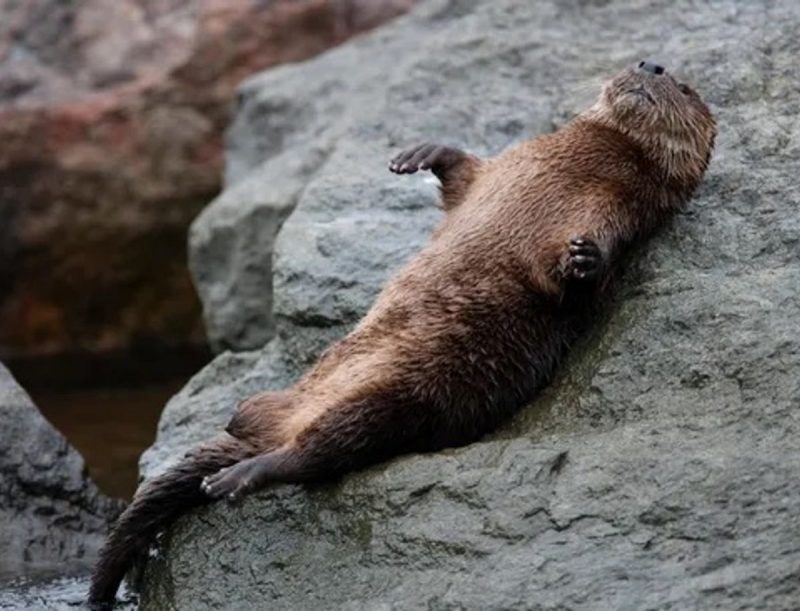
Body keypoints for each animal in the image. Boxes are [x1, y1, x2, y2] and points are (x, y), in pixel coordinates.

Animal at [90, 62, 716, 608]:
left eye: (686, 87)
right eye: (644, 60)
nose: (653, 64)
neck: (578, 164)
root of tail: (277, 424)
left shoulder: (615, 213)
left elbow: (582, 279)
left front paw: (584, 259)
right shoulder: (501, 168)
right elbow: (464, 175)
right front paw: (422, 153)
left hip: (399, 399)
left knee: (319, 454)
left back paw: (241, 476)